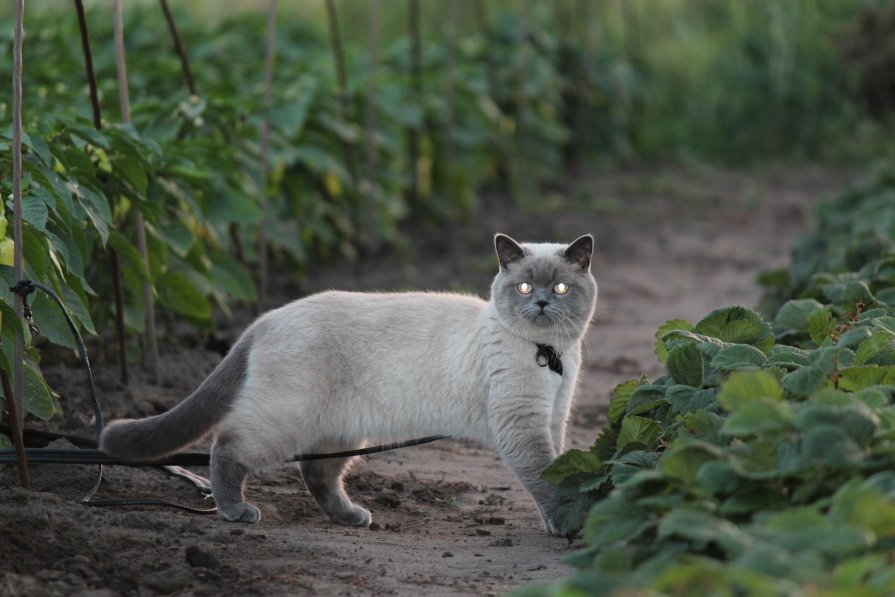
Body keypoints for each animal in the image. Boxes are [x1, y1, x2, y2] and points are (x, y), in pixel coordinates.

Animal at [101, 232, 600, 532]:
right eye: (523, 288)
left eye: (559, 289)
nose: (540, 304)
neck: (552, 353)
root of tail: (266, 318)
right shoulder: (522, 422)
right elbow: (544, 475)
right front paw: (569, 523)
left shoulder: (552, 418)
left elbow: (555, 466)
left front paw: (558, 522)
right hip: (286, 419)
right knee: (226, 448)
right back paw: (237, 512)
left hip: (343, 428)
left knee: (316, 471)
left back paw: (352, 516)